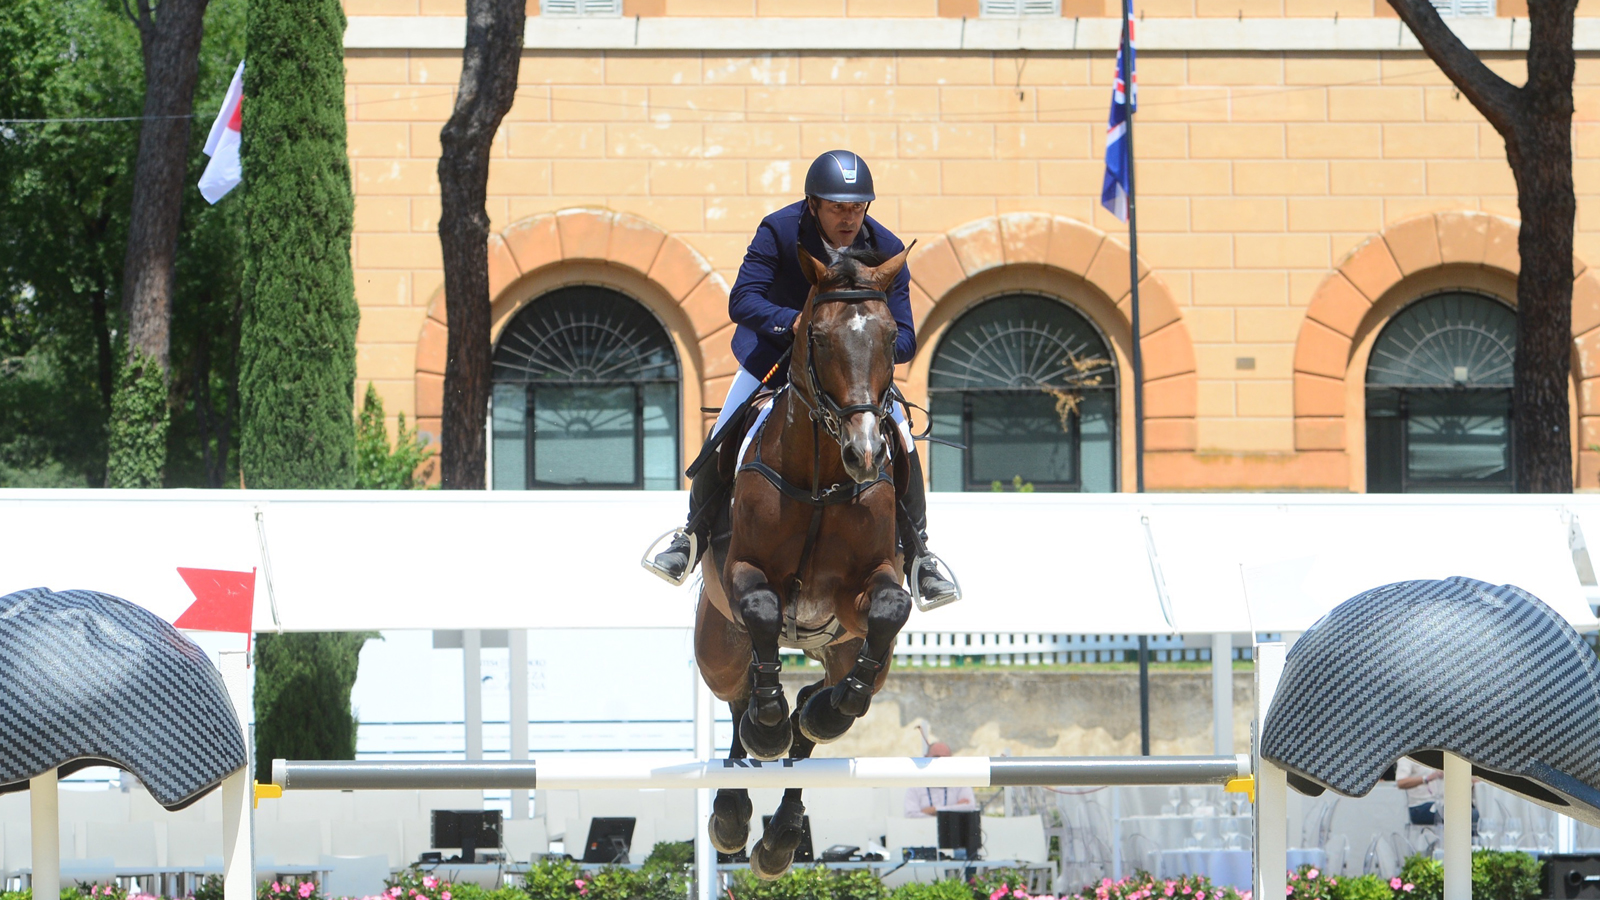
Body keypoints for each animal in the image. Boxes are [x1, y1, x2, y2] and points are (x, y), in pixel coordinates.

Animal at [694, 238, 921, 877]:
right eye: (817, 336)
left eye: (890, 335)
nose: (865, 453)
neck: (822, 476)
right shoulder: (745, 576)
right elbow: (765, 609)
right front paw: (767, 728)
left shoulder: (866, 587)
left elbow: (891, 608)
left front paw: (825, 712)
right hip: (717, 646)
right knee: (740, 694)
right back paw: (734, 808)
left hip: (842, 646)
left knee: (820, 717)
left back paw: (782, 831)